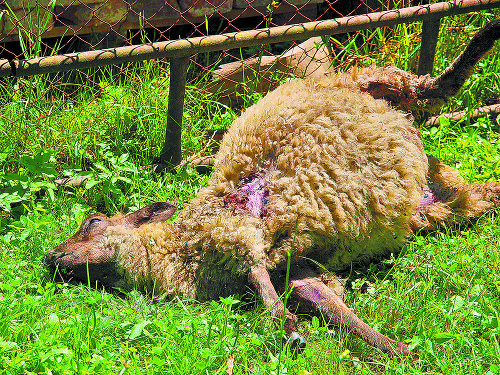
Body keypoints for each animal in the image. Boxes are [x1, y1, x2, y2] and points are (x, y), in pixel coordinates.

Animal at [46, 18, 500, 358]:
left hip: (376, 81)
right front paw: (400, 353)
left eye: (93, 221)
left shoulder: (236, 229)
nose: (50, 257)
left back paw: (488, 33)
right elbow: (329, 306)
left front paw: (290, 331)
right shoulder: (292, 267)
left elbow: (263, 281)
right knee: (481, 189)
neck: (178, 252)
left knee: (435, 86)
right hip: (440, 207)